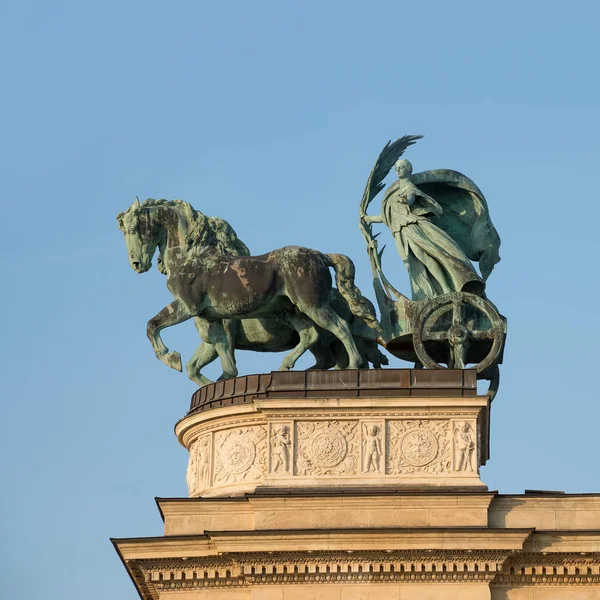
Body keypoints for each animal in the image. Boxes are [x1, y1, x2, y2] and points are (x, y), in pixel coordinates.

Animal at [117, 199, 380, 382]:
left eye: (133, 229)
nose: (137, 264)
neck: (191, 256)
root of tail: (322, 256)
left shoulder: (185, 307)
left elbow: (152, 325)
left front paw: (171, 357)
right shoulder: (211, 320)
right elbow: (208, 361)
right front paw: (220, 381)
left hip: (312, 306)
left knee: (341, 329)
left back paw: (354, 365)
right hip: (294, 311)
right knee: (310, 336)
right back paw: (285, 367)